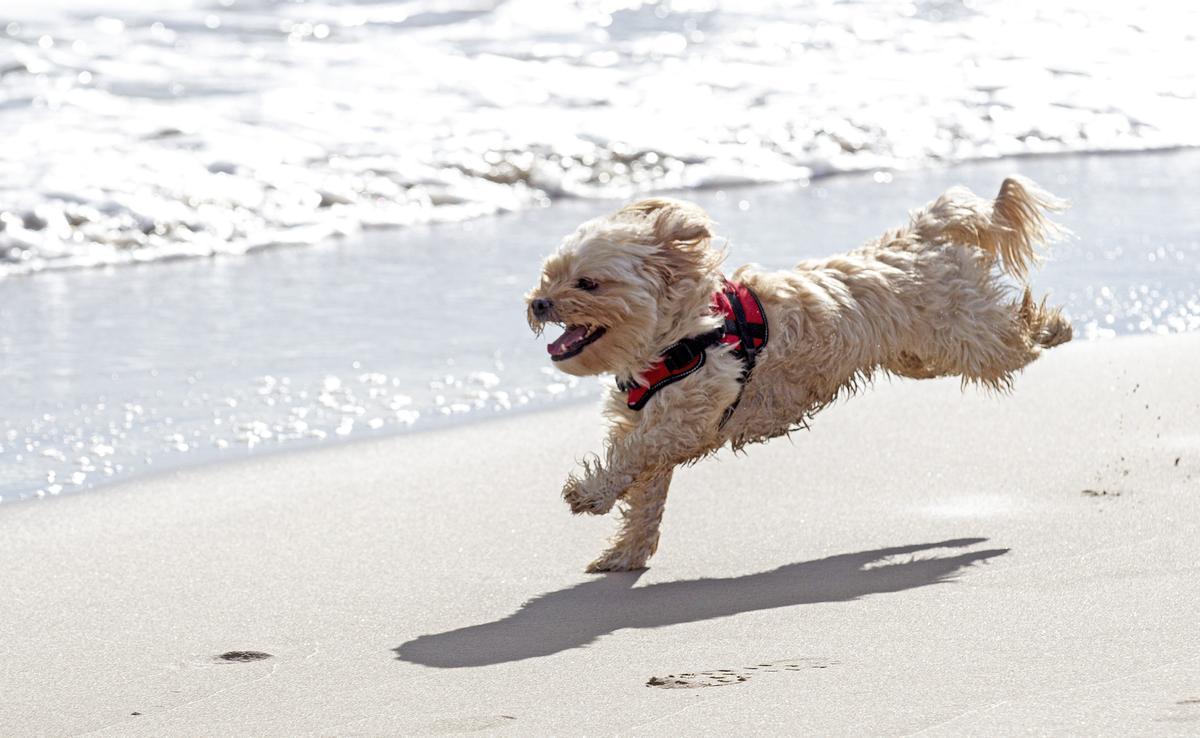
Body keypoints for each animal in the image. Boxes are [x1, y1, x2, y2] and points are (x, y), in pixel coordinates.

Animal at [525, 177, 1070, 571]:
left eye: (588, 283)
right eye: (548, 275)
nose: (537, 302)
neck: (678, 333)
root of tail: (920, 233)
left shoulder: (685, 417)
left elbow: (633, 456)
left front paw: (588, 493)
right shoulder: (647, 422)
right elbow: (644, 494)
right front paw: (625, 553)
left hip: (966, 337)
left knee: (1013, 339)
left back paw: (1052, 326)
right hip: (919, 357)